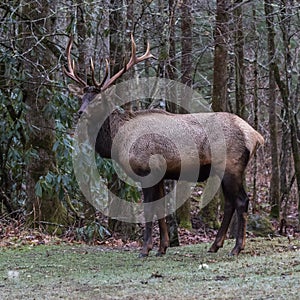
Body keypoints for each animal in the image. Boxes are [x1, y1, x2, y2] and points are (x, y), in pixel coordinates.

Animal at [64, 34, 264, 255]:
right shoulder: (159, 174)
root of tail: (256, 136)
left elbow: (148, 209)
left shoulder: (146, 170)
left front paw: (145, 249)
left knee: (241, 201)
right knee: (230, 203)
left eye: (98, 99)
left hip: (231, 166)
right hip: (224, 170)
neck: (117, 141)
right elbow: (160, 210)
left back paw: (236, 247)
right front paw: (162, 247)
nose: (80, 113)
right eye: (82, 97)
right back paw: (215, 245)